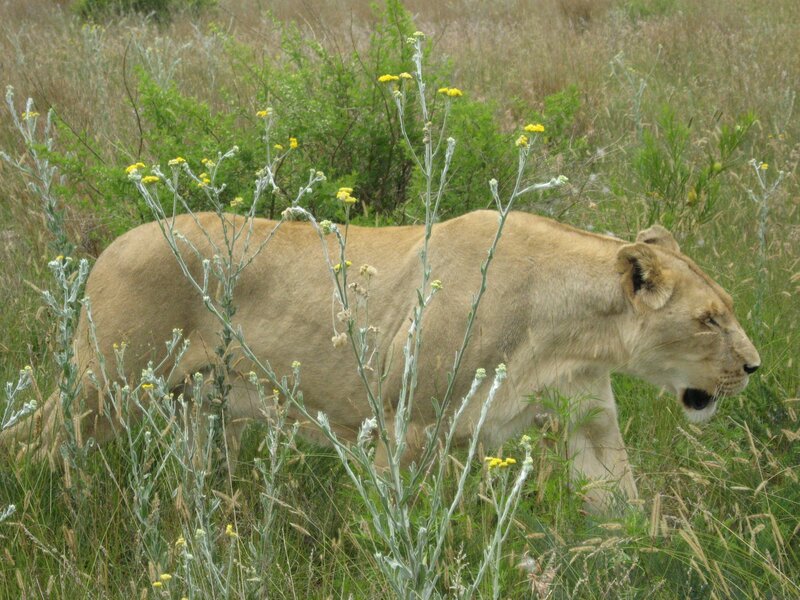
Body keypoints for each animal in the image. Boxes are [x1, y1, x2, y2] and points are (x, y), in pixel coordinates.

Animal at [1, 210, 760, 510]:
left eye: (727, 308)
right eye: (708, 320)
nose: (754, 368)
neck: (571, 333)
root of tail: (107, 247)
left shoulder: (588, 420)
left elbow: (623, 504)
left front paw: (648, 559)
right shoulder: (405, 425)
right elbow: (402, 525)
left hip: (197, 412)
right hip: (106, 386)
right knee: (39, 445)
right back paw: (54, 513)